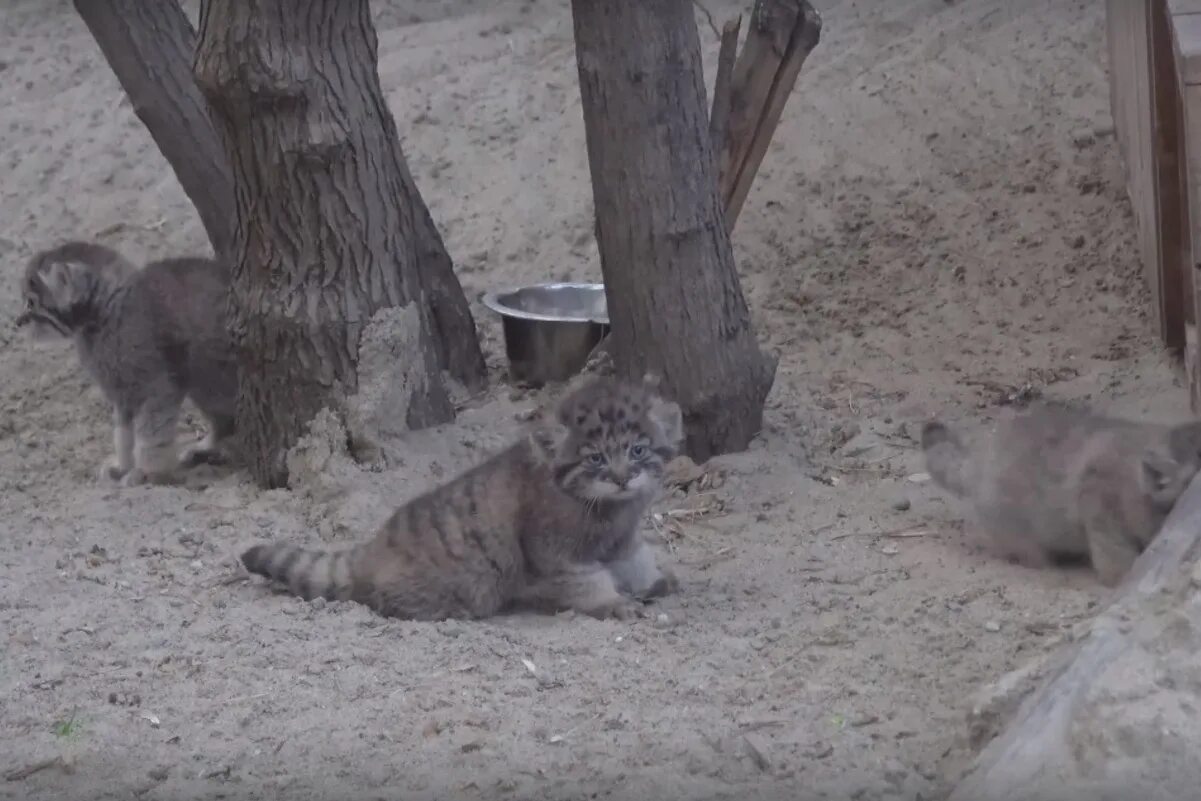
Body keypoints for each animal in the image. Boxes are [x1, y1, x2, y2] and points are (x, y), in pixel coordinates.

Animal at [15, 241, 236, 485]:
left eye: (31, 302)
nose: (17, 322)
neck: (105, 315)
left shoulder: (157, 387)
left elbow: (151, 434)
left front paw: (148, 471)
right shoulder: (120, 391)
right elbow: (123, 434)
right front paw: (124, 466)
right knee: (227, 420)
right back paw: (207, 448)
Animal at [238, 377, 686, 619]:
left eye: (637, 451)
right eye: (595, 458)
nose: (622, 478)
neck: (608, 509)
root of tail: (372, 550)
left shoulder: (623, 540)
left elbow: (636, 559)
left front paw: (652, 581)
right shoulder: (557, 555)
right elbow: (589, 582)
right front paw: (612, 603)